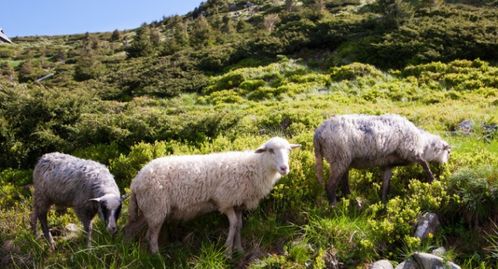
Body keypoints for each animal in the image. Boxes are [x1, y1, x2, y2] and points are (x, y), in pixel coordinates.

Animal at [124, 137, 300, 254]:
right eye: (271, 150)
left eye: (289, 150)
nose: (284, 168)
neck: (254, 167)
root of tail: (136, 181)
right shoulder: (224, 201)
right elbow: (233, 224)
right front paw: (228, 251)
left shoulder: (238, 203)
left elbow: (239, 226)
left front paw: (239, 249)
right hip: (155, 208)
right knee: (152, 237)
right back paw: (157, 257)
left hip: (148, 209)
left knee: (135, 232)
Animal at [316, 113, 452, 203]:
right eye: (448, 152)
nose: (445, 166)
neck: (423, 144)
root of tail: (318, 132)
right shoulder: (410, 151)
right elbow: (425, 164)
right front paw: (433, 180)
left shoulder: (388, 164)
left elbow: (386, 182)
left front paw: (383, 201)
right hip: (338, 157)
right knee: (331, 185)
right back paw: (334, 205)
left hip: (343, 160)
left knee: (343, 182)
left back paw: (352, 199)